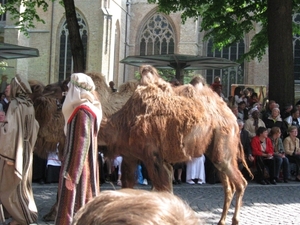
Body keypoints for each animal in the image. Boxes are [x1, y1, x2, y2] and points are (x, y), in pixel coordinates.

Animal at [99, 65, 252, 225]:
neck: (123, 123)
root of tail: (233, 118)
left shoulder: (152, 156)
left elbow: (163, 189)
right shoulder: (131, 156)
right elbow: (128, 185)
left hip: (223, 146)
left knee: (241, 183)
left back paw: (235, 220)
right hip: (216, 151)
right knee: (229, 186)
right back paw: (221, 220)